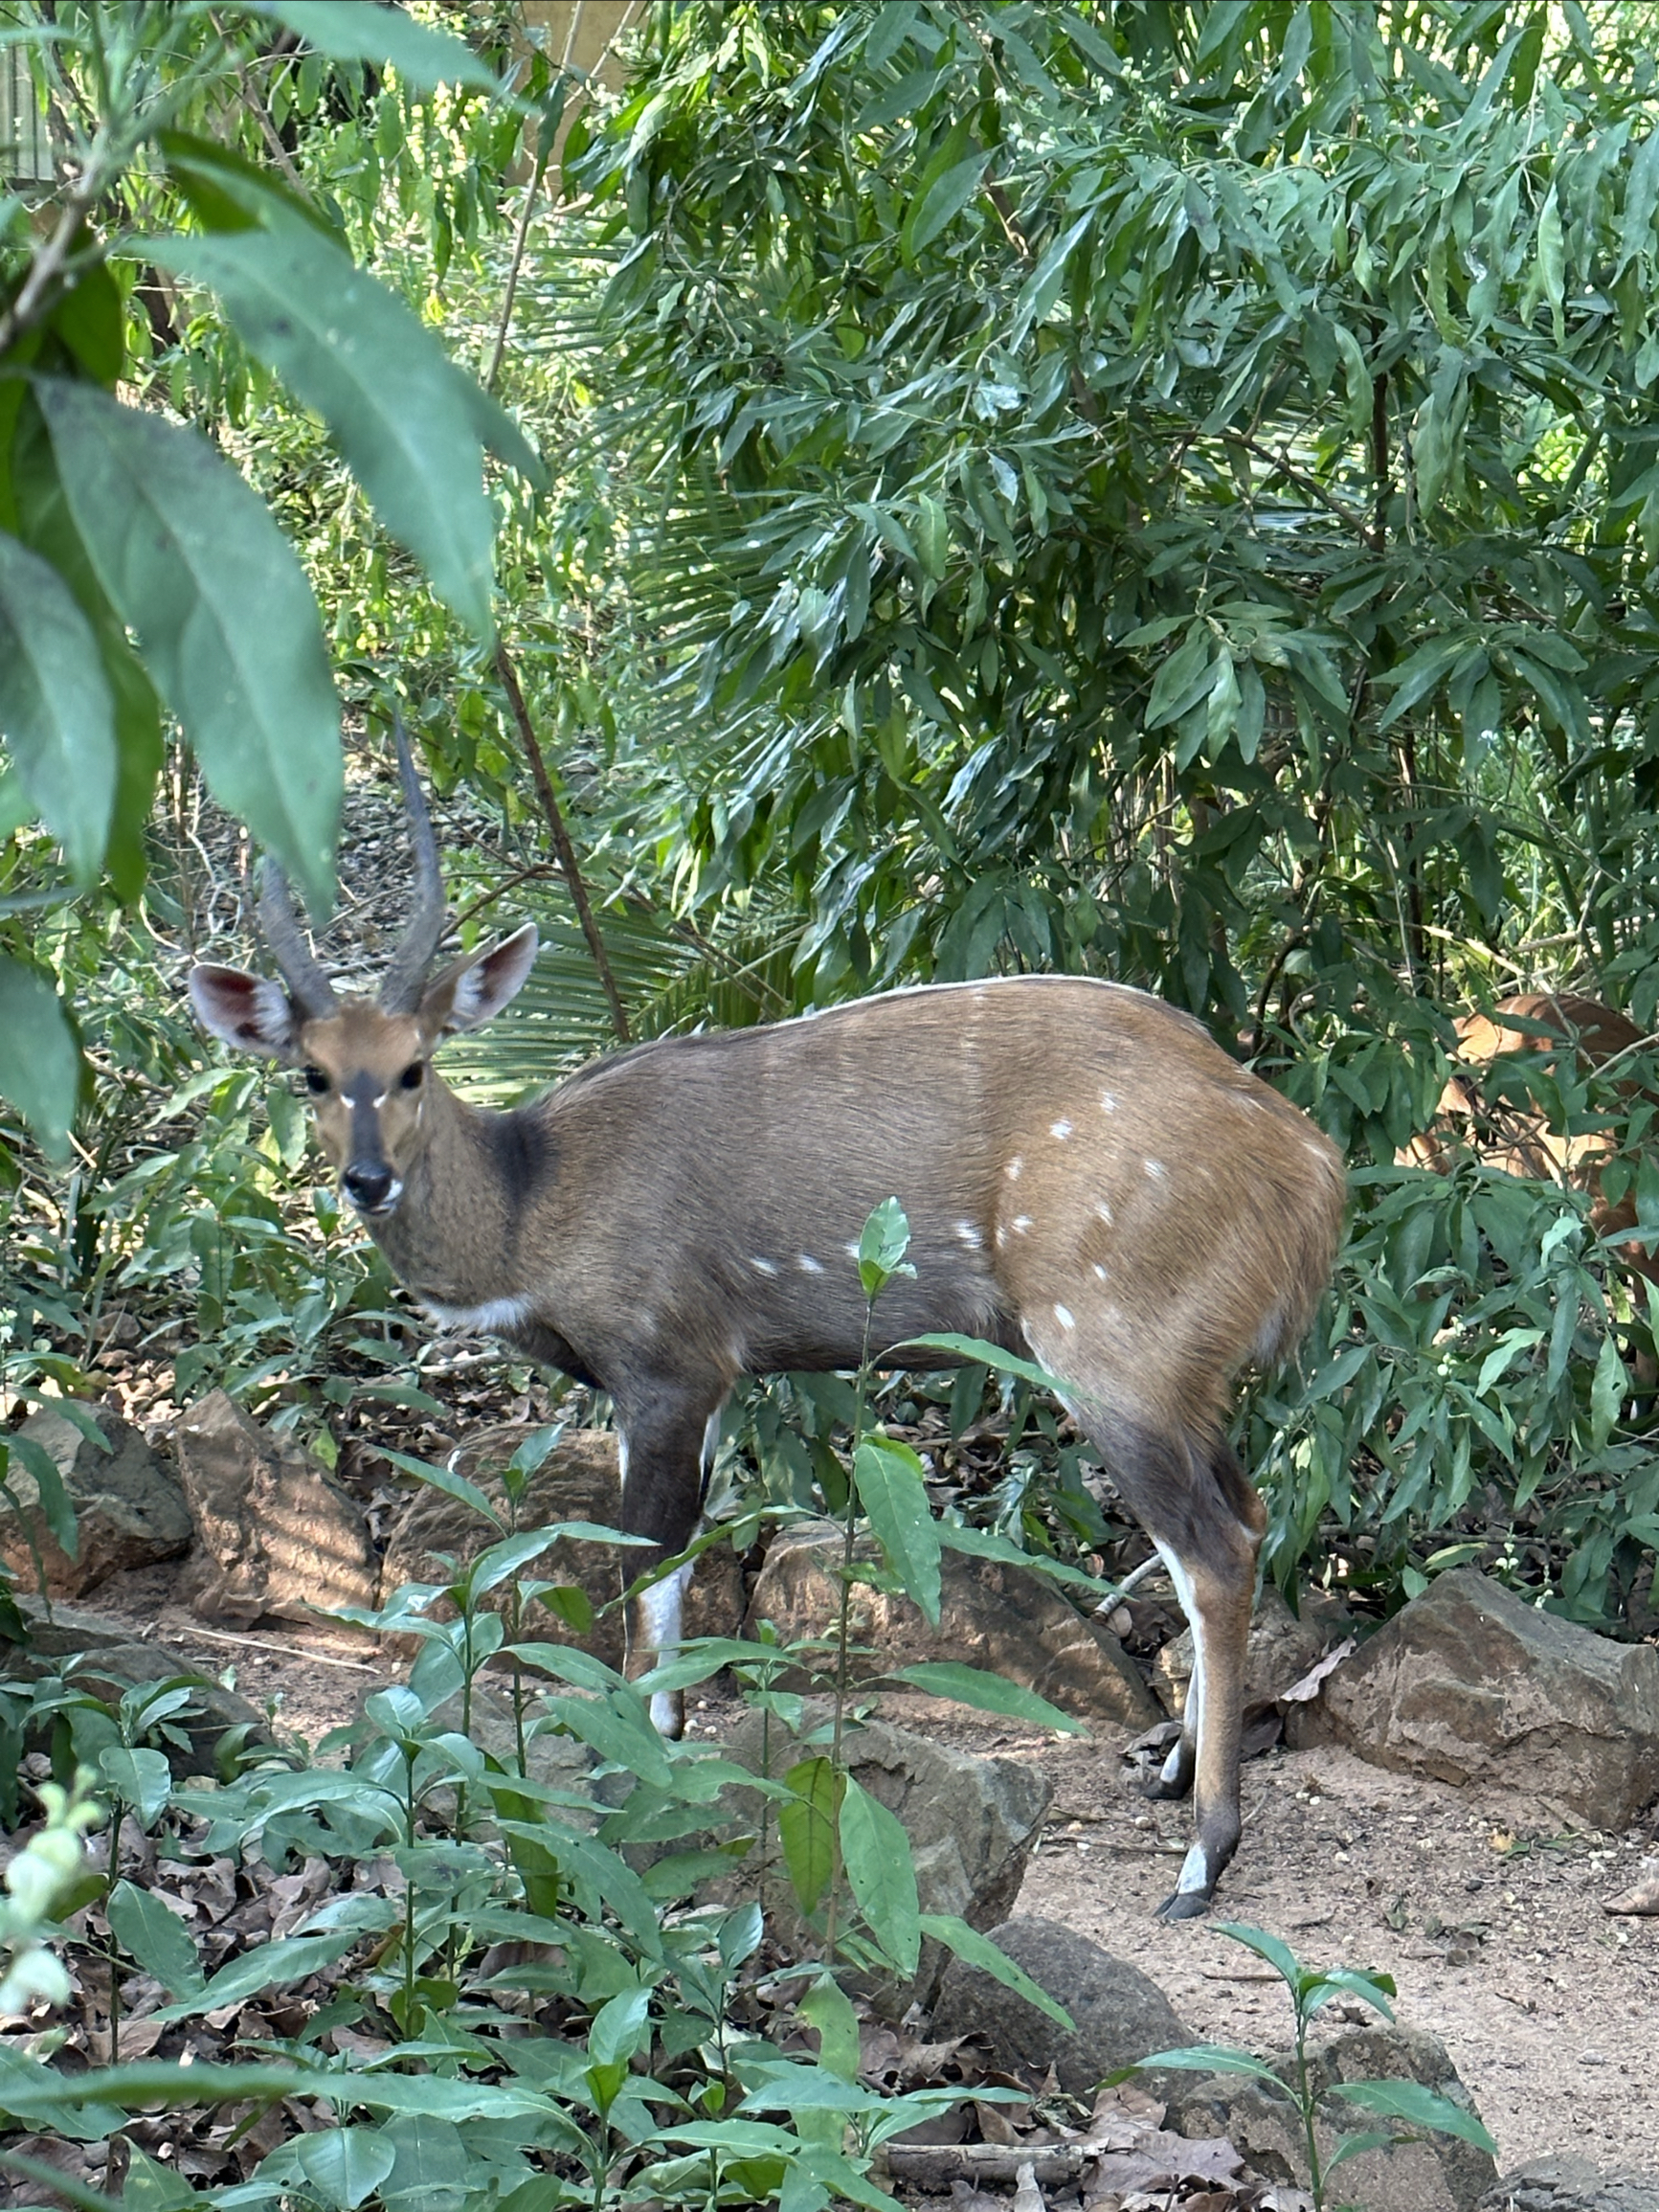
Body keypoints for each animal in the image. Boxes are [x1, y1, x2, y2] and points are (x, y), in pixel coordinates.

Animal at [188, 743, 1354, 1920]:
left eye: (415, 1065)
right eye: (311, 1072)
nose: (365, 1179)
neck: (534, 1204)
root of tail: (1310, 1169)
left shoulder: (666, 1365)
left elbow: (643, 1570)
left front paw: (631, 1773)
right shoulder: (703, 1383)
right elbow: (670, 1567)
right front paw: (662, 1743)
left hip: (1109, 1352)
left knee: (1212, 1550)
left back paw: (1203, 1856)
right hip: (1183, 1377)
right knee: (1247, 1514)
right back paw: (1167, 1776)